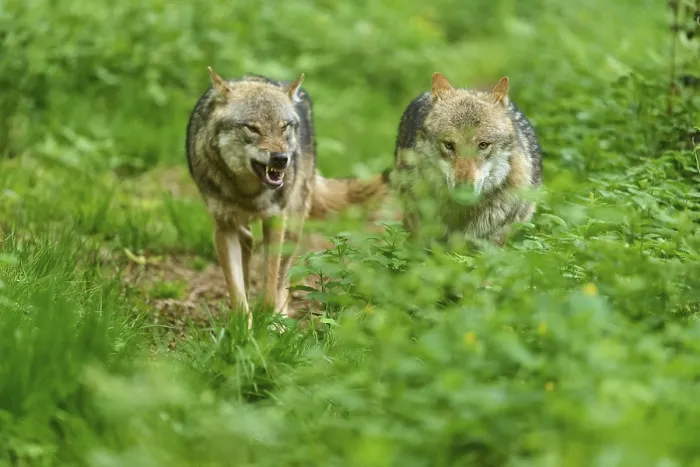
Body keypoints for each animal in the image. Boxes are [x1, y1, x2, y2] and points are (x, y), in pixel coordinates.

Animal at [185, 67, 387, 326]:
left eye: (283, 127)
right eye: (252, 128)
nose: (281, 158)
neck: (248, 191)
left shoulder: (275, 219)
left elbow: (271, 287)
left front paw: (269, 324)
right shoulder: (223, 227)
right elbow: (238, 294)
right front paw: (243, 330)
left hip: (293, 226)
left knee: (283, 278)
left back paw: (280, 317)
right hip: (245, 228)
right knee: (248, 248)